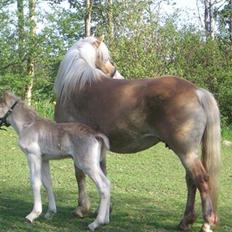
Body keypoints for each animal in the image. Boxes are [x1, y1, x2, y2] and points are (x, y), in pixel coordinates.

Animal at [0, 91, 110, 231]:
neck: (28, 125)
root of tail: (95, 134)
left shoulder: (33, 156)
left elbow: (35, 182)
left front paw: (32, 215)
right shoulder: (44, 160)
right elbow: (47, 183)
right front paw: (50, 213)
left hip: (87, 165)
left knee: (104, 186)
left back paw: (95, 223)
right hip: (93, 164)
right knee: (108, 183)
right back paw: (105, 220)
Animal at [53, 36, 220, 232]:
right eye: (106, 57)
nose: (115, 73)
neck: (77, 87)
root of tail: (197, 91)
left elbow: (79, 175)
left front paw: (81, 208)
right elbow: (102, 175)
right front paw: (104, 210)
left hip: (185, 152)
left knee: (201, 179)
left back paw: (207, 223)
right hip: (189, 152)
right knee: (191, 180)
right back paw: (186, 221)